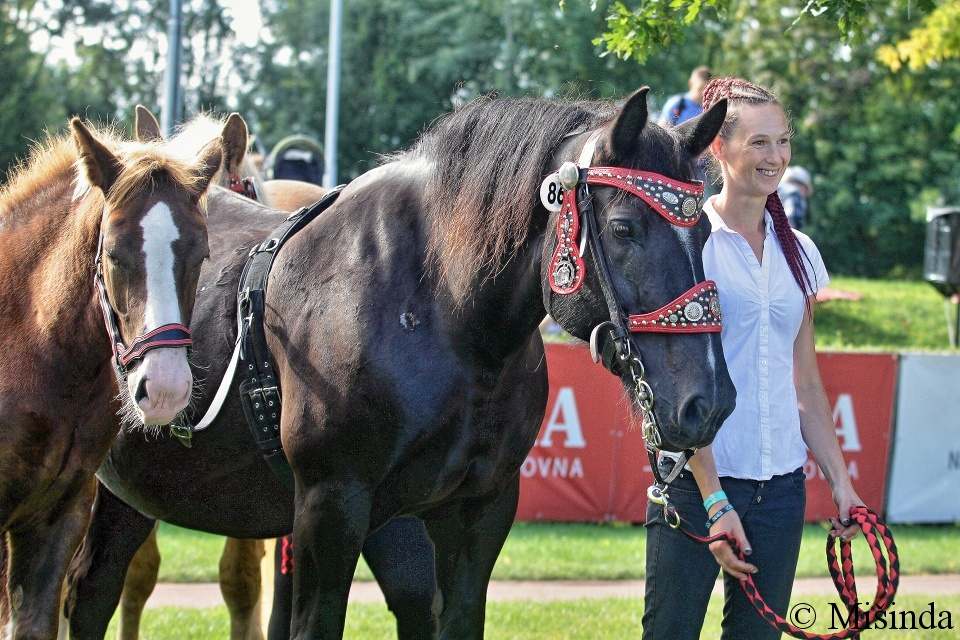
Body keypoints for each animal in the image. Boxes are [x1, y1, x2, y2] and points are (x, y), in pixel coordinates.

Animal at [65, 87, 736, 636]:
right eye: (623, 228)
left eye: (704, 233)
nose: (707, 402)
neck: (442, 313)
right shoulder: (330, 506)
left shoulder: (477, 509)